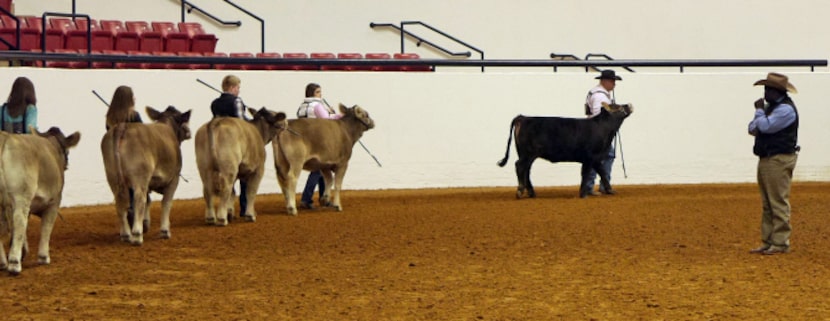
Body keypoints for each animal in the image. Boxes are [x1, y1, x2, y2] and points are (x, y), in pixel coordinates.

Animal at [0, 126, 81, 274]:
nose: (67, 165)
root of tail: (5, 137)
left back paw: (3, 262)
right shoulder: (54, 202)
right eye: (66, 151)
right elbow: (46, 227)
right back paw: (14, 264)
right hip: (21, 197)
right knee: (20, 222)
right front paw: (43, 257)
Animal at [101, 105, 192, 245]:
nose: (189, 132)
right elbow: (166, 203)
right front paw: (165, 231)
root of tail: (122, 127)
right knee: (139, 199)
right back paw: (137, 235)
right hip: (140, 176)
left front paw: (146, 223)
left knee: (120, 202)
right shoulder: (174, 179)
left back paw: (126, 234)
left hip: (112, 176)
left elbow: (149, 201)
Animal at [498, 102, 632, 198]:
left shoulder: (596, 158)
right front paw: (583, 194)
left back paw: (532, 193)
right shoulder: (589, 157)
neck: (603, 128)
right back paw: (520, 191)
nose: (629, 104)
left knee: (526, 170)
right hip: (528, 153)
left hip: (525, 154)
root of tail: (523, 117)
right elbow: (586, 174)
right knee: (520, 166)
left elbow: (602, 172)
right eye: (617, 106)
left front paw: (610, 190)